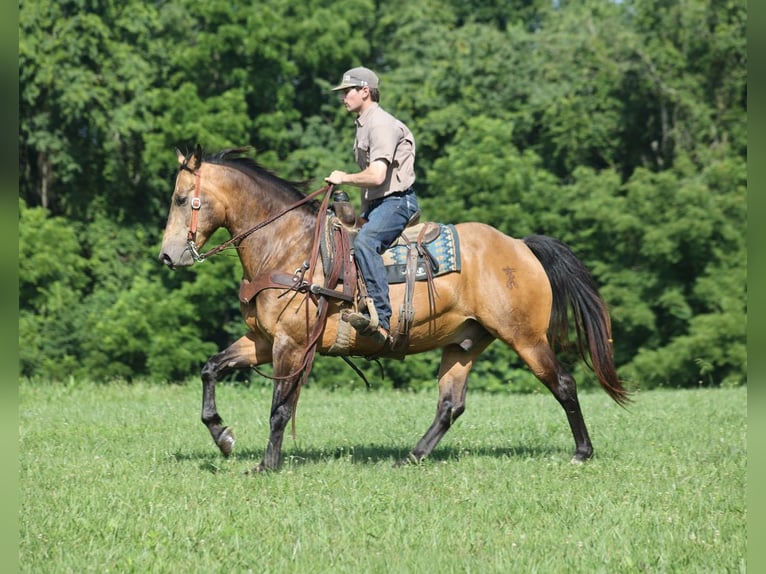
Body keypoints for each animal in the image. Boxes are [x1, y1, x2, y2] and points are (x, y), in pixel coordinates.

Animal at [158, 146, 630, 473]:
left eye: (181, 199)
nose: (167, 256)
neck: (288, 246)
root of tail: (520, 245)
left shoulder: (291, 344)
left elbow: (280, 407)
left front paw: (266, 465)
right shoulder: (261, 340)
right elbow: (211, 368)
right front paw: (222, 435)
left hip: (526, 338)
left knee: (564, 384)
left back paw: (582, 452)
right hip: (465, 342)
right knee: (450, 405)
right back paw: (413, 456)